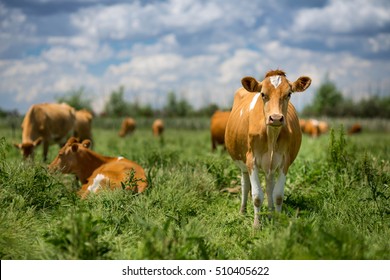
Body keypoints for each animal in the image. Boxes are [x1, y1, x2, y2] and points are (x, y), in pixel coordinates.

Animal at [225, 69, 310, 228]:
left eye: (289, 94)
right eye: (263, 94)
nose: (275, 118)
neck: (271, 135)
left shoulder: (284, 162)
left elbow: (277, 195)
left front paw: (277, 221)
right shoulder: (251, 160)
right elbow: (257, 196)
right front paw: (256, 225)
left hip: (270, 165)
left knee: (270, 187)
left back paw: (270, 214)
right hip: (243, 164)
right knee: (245, 185)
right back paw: (242, 211)